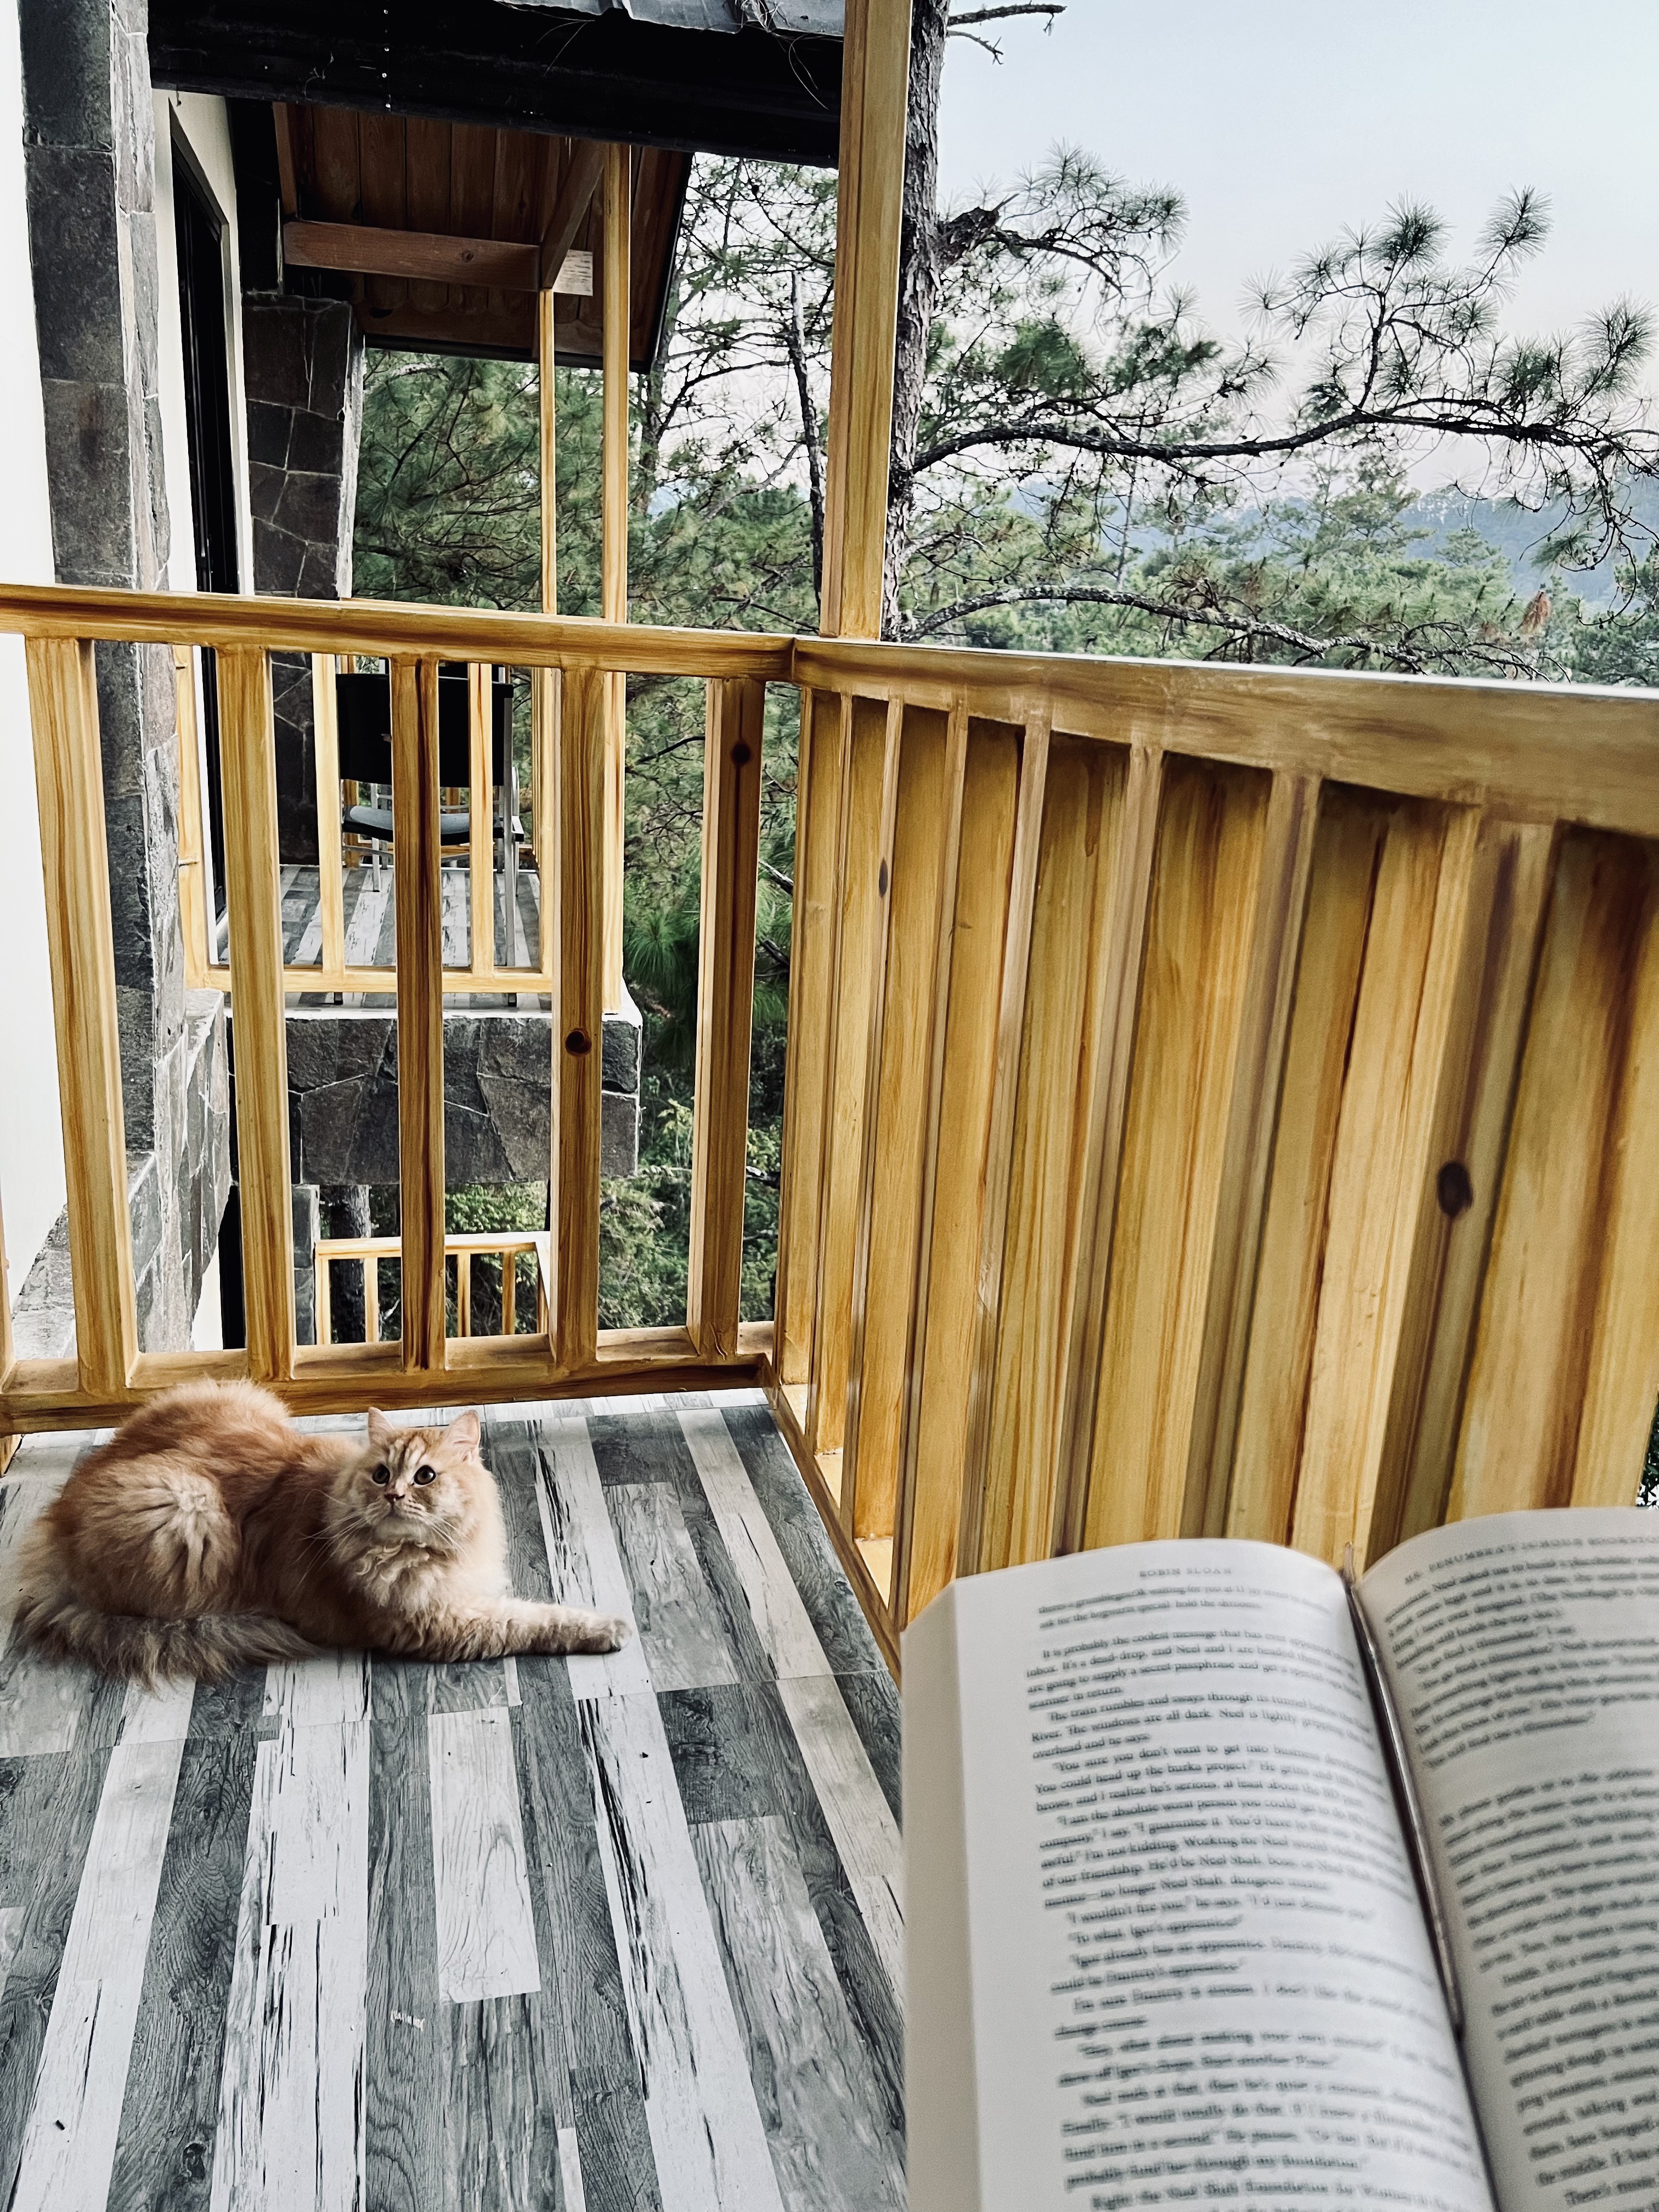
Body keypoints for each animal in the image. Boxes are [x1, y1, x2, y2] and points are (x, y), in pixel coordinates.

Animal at [13, 1380, 629, 1686]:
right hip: (188, 1510)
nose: (393, 1496)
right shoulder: (444, 1623)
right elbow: (537, 1619)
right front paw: (608, 1629)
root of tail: (54, 1523)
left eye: (425, 1476)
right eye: (381, 1474)